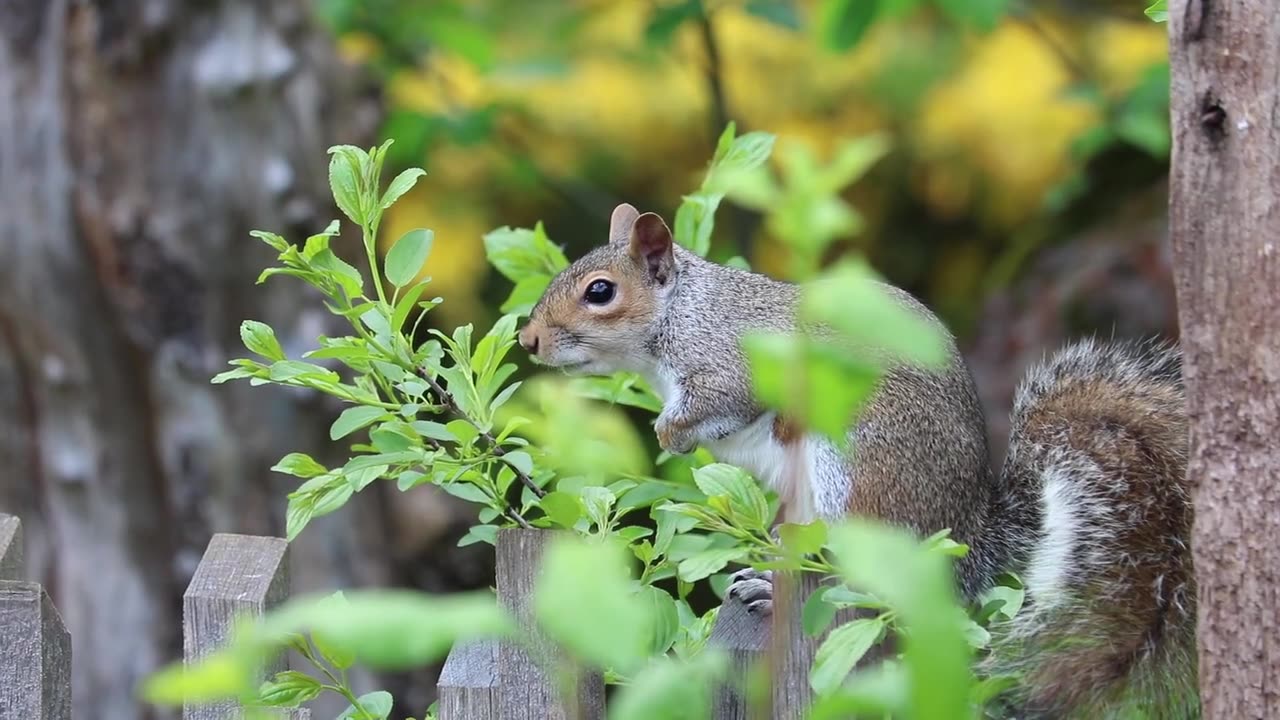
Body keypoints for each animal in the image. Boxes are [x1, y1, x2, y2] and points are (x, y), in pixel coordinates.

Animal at [514, 203, 1192, 717]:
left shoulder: (734, 364)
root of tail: (968, 538)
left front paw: (669, 430)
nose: (528, 339)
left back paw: (774, 585)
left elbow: (721, 401)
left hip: (853, 467)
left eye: (600, 292)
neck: (682, 313)